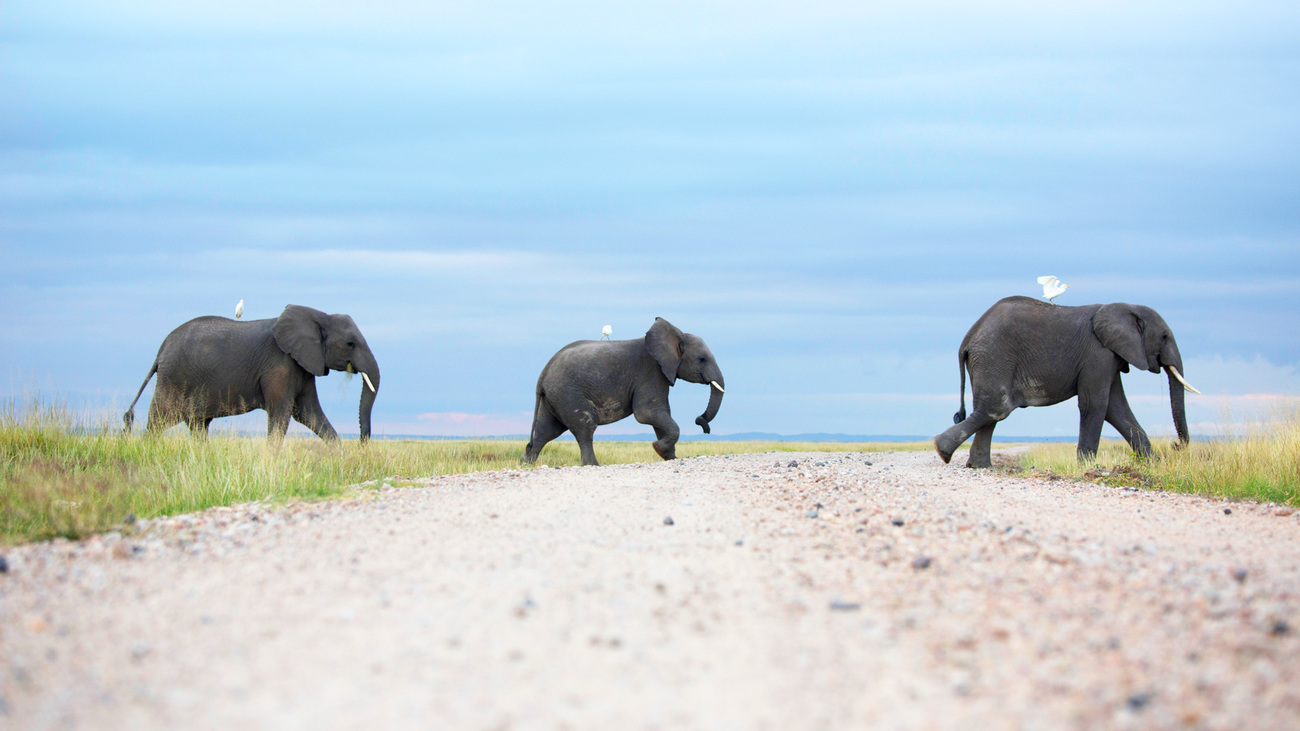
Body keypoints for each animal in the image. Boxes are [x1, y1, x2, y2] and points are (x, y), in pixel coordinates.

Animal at [122, 303, 379, 442]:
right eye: (350, 344)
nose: (362, 442)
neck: (318, 316)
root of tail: (161, 350)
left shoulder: (302, 365)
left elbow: (309, 413)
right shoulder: (280, 364)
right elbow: (282, 413)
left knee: (198, 425)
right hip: (174, 378)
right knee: (159, 419)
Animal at [520, 316, 728, 463]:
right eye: (702, 359)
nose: (700, 421)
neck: (675, 335)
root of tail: (543, 374)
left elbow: (659, 416)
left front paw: (669, 457)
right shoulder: (651, 372)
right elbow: (647, 413)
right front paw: (658, 448)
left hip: (554, 397)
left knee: (546, 430)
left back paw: (526, 463)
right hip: (568, 394)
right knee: (585, 427)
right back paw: (593, 465)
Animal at [935, 293, 1196, 465]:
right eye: (1164, 337)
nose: (1176, 446)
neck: (1124, 307)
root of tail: (968, 338)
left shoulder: (1110, 356)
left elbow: (1116, 408)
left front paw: (1153, 464)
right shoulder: (1098, 354)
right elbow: (1096, 405)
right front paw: (1087, 466)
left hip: (989, 360)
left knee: (990, 411)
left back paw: (979, 466)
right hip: (994, 357)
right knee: (997, 407)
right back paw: (941, 450)